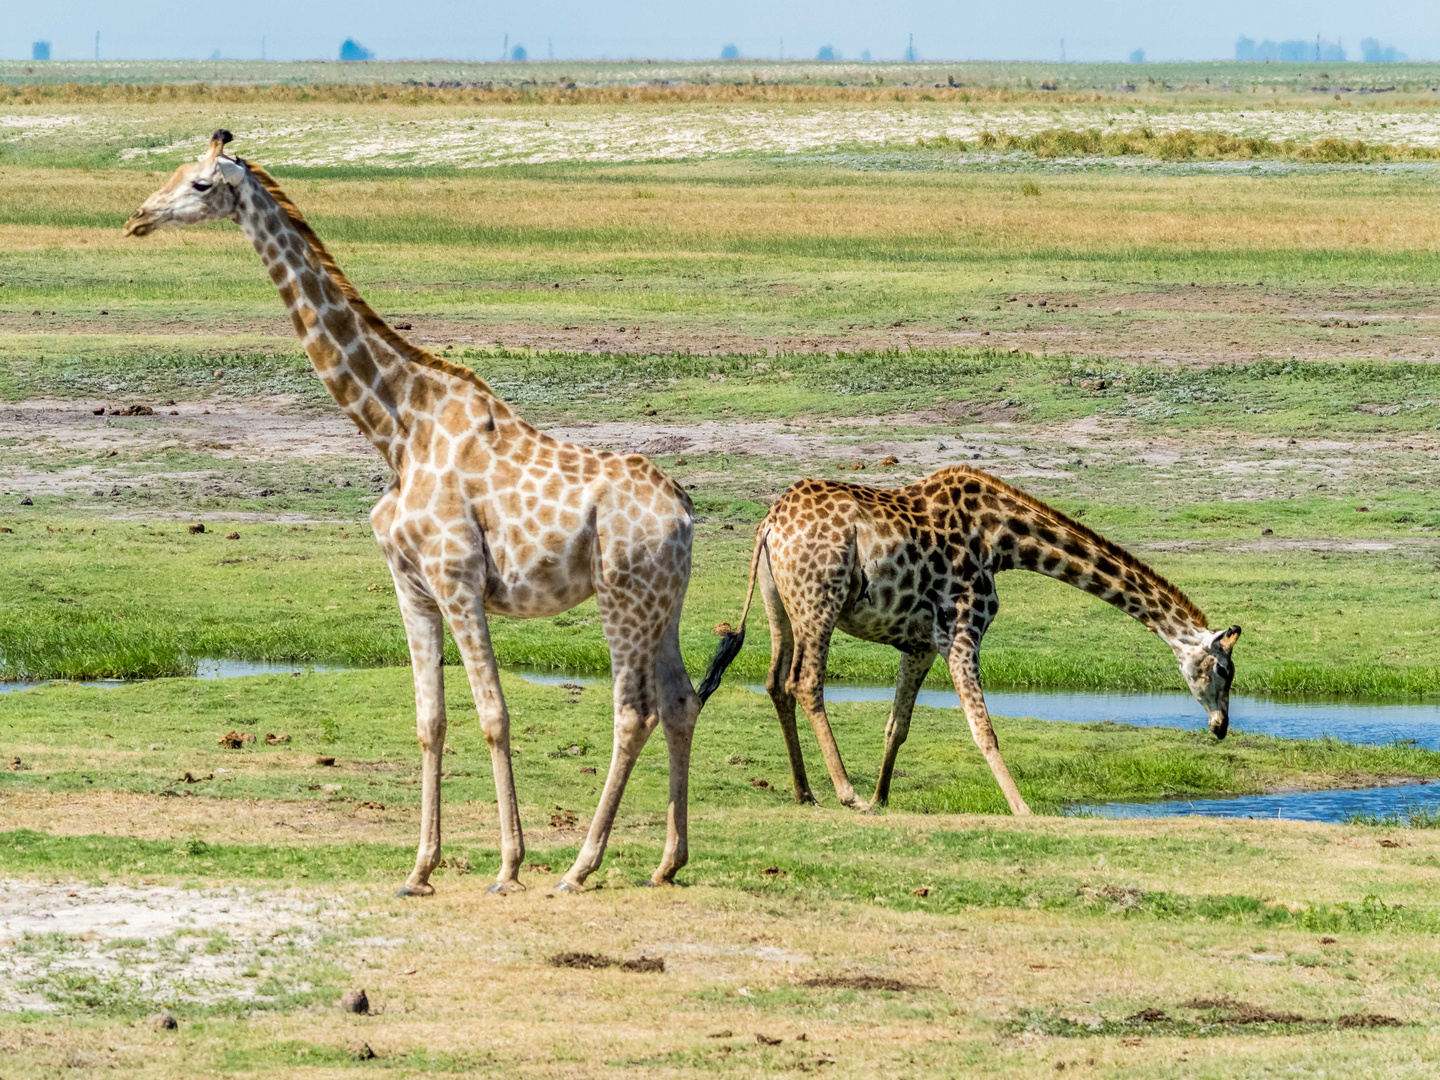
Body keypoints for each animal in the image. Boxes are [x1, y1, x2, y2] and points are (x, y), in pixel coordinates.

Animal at [126, 131, 699, 898]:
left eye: (198, 184)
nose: (137, 217)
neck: (395, 427)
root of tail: (685, 514)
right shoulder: (411, 585)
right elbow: (431, 719)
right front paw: (420, 868)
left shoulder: (457, 579)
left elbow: (494, 714)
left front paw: (508, 866)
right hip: (664, 602)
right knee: (680, 700)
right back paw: (668, 861)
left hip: (622, 596)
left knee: (633, 710)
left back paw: (579, 866)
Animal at [696, 469, 1238, 817]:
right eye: (1224, 671)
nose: (1221, 728)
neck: (1004, 541)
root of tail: (768, 524)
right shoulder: (960, 632)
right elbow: (985, 731)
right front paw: (1022, 808)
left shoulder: (920, 644)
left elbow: (897, 726)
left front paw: (882, 800)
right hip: (819, 603)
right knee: (805, 682)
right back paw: (844, 791)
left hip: (780, 605)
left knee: (775, 683)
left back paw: (805, 793)